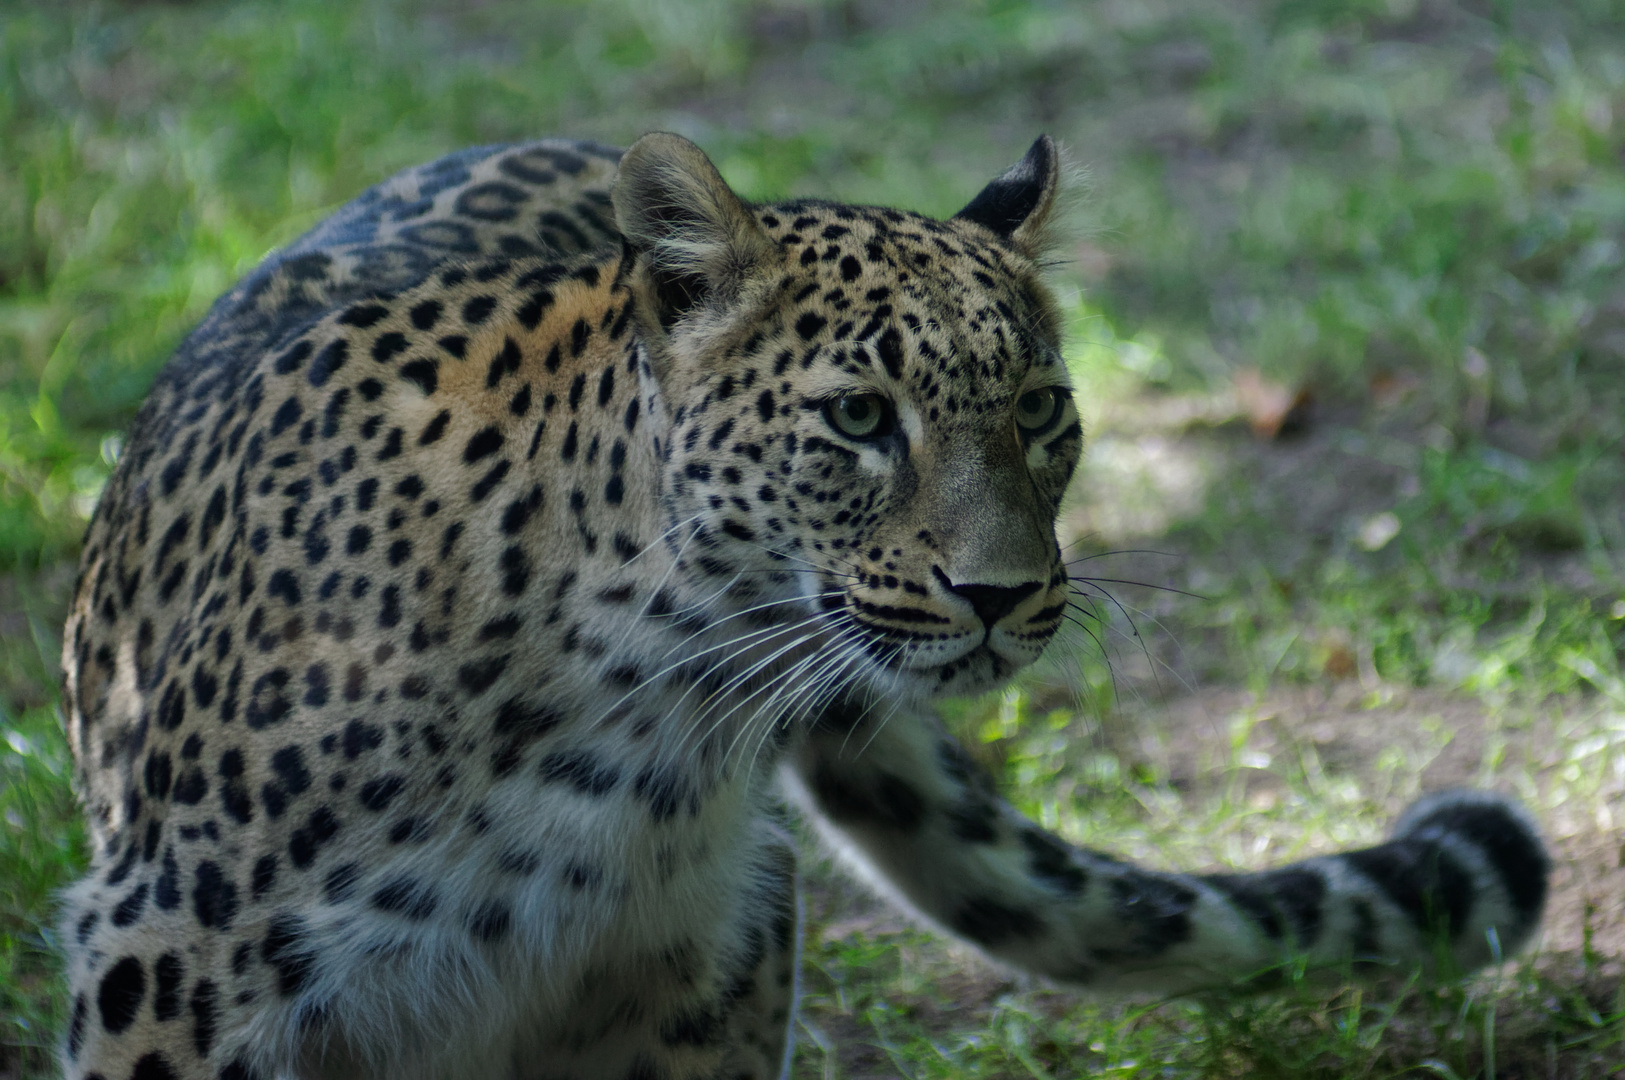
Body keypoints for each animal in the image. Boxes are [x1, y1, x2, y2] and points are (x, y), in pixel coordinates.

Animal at [54, 134, 1547, 1078]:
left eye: (1039, 412)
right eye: (858, 419)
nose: (1002, 593)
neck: (630, 698)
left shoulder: (688, 978)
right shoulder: (174, 961)